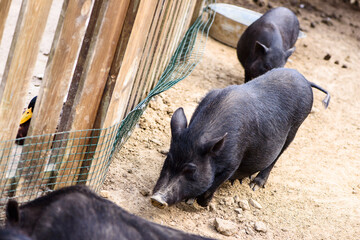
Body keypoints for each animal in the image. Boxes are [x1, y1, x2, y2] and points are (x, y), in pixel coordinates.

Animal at [150, 68, 330, 208]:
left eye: (191, 170)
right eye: (168, 160)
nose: (156, 199)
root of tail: (306, 80)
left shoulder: (233, 162)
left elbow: (212, 186)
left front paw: (201, 204)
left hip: (296, 127)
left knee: (277, 157)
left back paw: (254, 185)